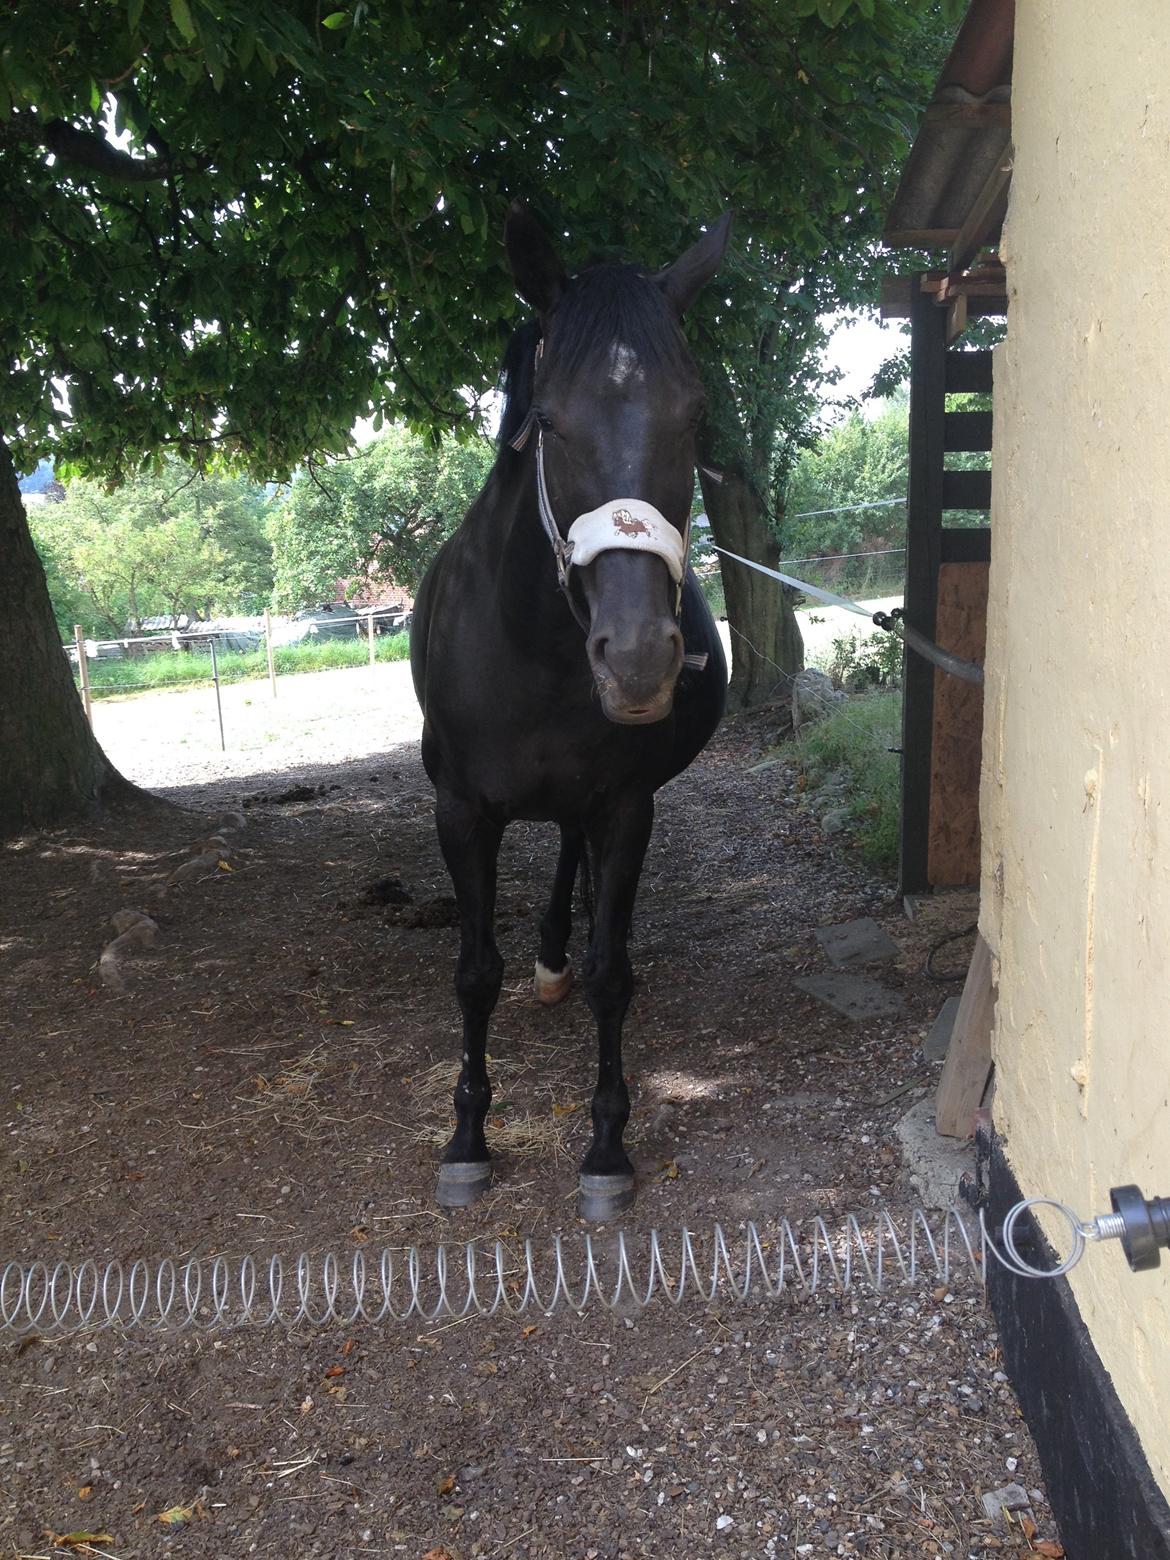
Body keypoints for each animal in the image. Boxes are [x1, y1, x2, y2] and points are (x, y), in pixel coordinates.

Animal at [408, 204, 730, 1216]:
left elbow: (611, 974)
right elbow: (474, 974)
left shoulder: (624, 807)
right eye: (548, 418)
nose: (637, 660)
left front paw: (606, 1147)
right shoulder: (461, 812)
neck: (535, 649)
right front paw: (467, 1136)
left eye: (695, 413)